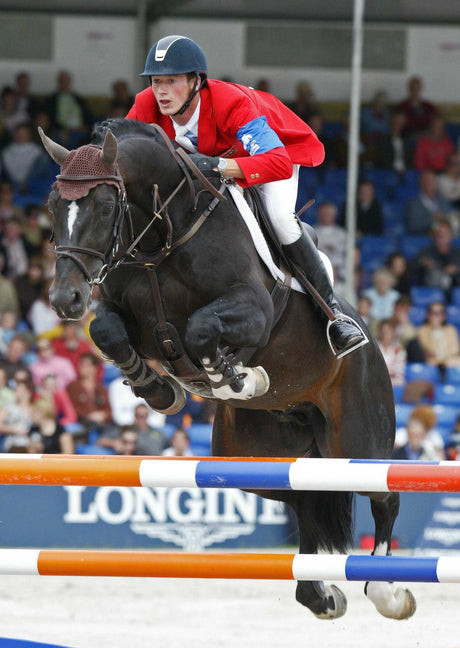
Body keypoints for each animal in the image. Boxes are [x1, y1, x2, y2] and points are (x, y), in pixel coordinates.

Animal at [38, 119, 414, 620]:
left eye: (104, 206)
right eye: (53, 205)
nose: (65, 300)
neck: (163, 238)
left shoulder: (253, 311)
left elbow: (202, 329)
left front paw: (234, 378)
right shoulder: (124, 315)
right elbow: (106, 330)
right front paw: (160, 389)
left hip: (357, 439)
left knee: (384, 494)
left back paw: (388, 592)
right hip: (259, 457)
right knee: (302, 498)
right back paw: (319, 594)